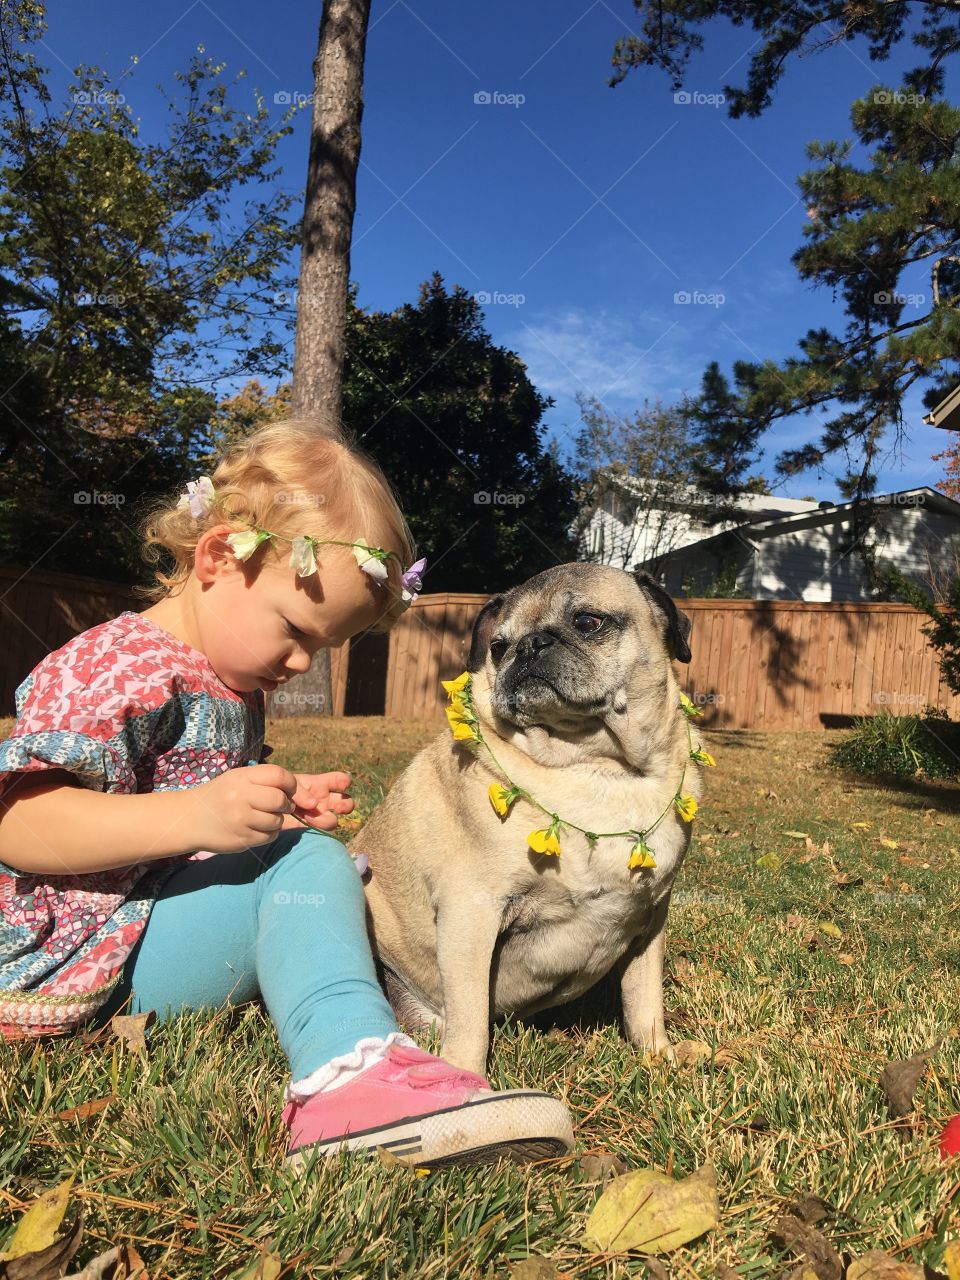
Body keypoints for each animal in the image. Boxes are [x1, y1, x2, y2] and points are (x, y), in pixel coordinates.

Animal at [358, 565, 701, 1075]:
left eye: (588, 622)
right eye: (498, 647)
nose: (529, 646)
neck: (600, 768)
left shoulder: (652, 918)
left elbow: (643, 998)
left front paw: (656, 1054)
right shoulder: (471, 913)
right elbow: (470, 1021)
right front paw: (468, 1078)